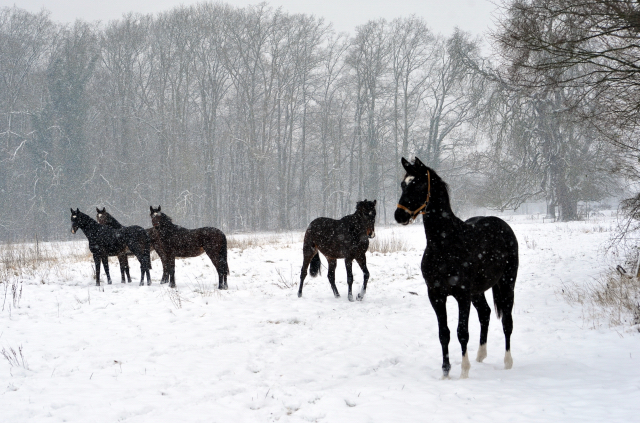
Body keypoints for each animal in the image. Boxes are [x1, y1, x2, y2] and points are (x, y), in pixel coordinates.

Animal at [396, 157, 520, 380]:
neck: (444, 245)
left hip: (507, 284)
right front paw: (445, 372)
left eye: (418, 184)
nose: (399, 215)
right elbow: (444, 333)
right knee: (485, 313)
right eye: (403, 184)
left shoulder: (462, 296)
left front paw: (463, 371)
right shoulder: (436, 295)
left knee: (507, 321)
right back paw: (481, 355)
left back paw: (507, 362)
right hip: (478, 292)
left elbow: (462, 333)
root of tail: (503, 225)